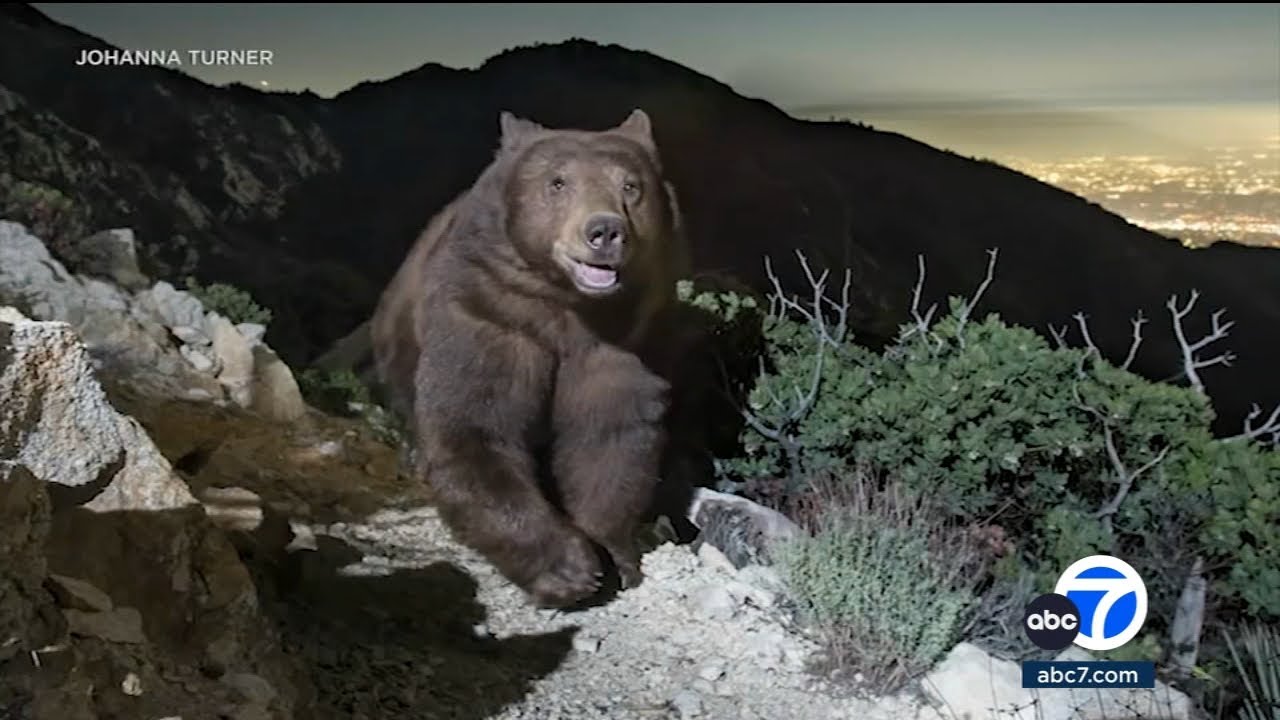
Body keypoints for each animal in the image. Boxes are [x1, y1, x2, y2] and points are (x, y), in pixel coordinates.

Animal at [370, 108, 692, 608]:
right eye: (558, 183)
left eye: (631, 186)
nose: (604, 231)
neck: (569, 309)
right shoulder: (490, 313)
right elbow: (476, 426)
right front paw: (569, 569)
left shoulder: (626, 343)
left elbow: (609, 438)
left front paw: (616, 555)